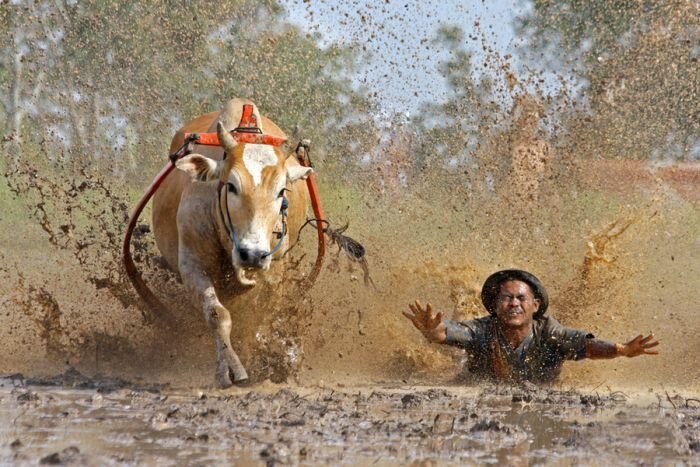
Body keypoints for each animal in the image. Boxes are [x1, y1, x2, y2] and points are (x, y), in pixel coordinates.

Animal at [152, 99, 312, 388]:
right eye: (231, 186)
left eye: (281, 191)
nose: (253, 254)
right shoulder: (192, 265)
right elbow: (218, 314)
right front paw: (230, 369)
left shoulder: (274, 273)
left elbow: (255, 321)